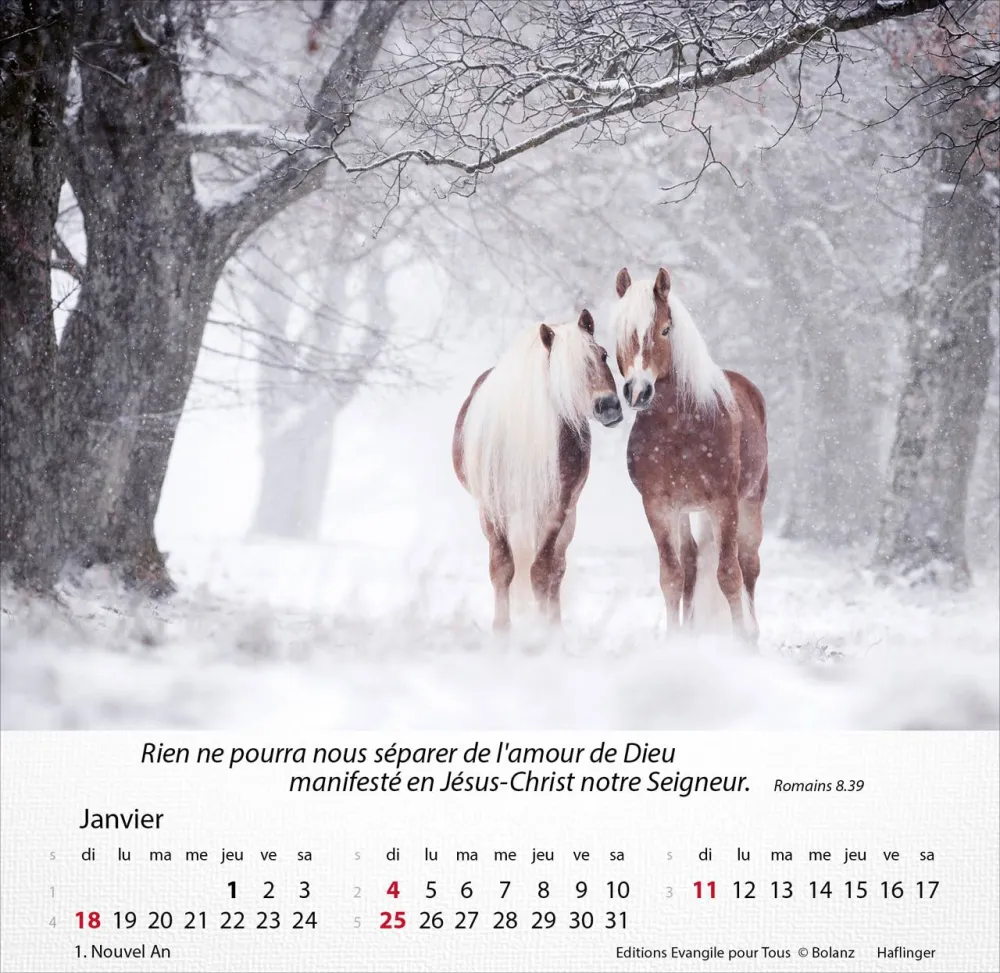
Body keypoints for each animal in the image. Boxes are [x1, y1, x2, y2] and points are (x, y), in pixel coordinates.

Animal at [453, 309, 623, 630]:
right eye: (562, 369)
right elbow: (503, 568)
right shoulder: (493, 508)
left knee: (556, 569)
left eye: (604, 355)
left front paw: (545, 632)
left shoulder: (556, 507)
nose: (608, 406)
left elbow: (542, 571)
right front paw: (501, 631)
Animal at [612, 267, 769, 643]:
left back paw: (753, 631)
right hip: (684, 511)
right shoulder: (658, 506)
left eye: (665, 329)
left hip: (751, 501)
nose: (638, 391)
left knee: (749, 564)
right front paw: (675, 640)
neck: (680, 428)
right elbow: (672, 575)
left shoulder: (723, 504)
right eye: (621, 329)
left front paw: (742, 641)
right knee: (693, 561)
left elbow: (729, 573)